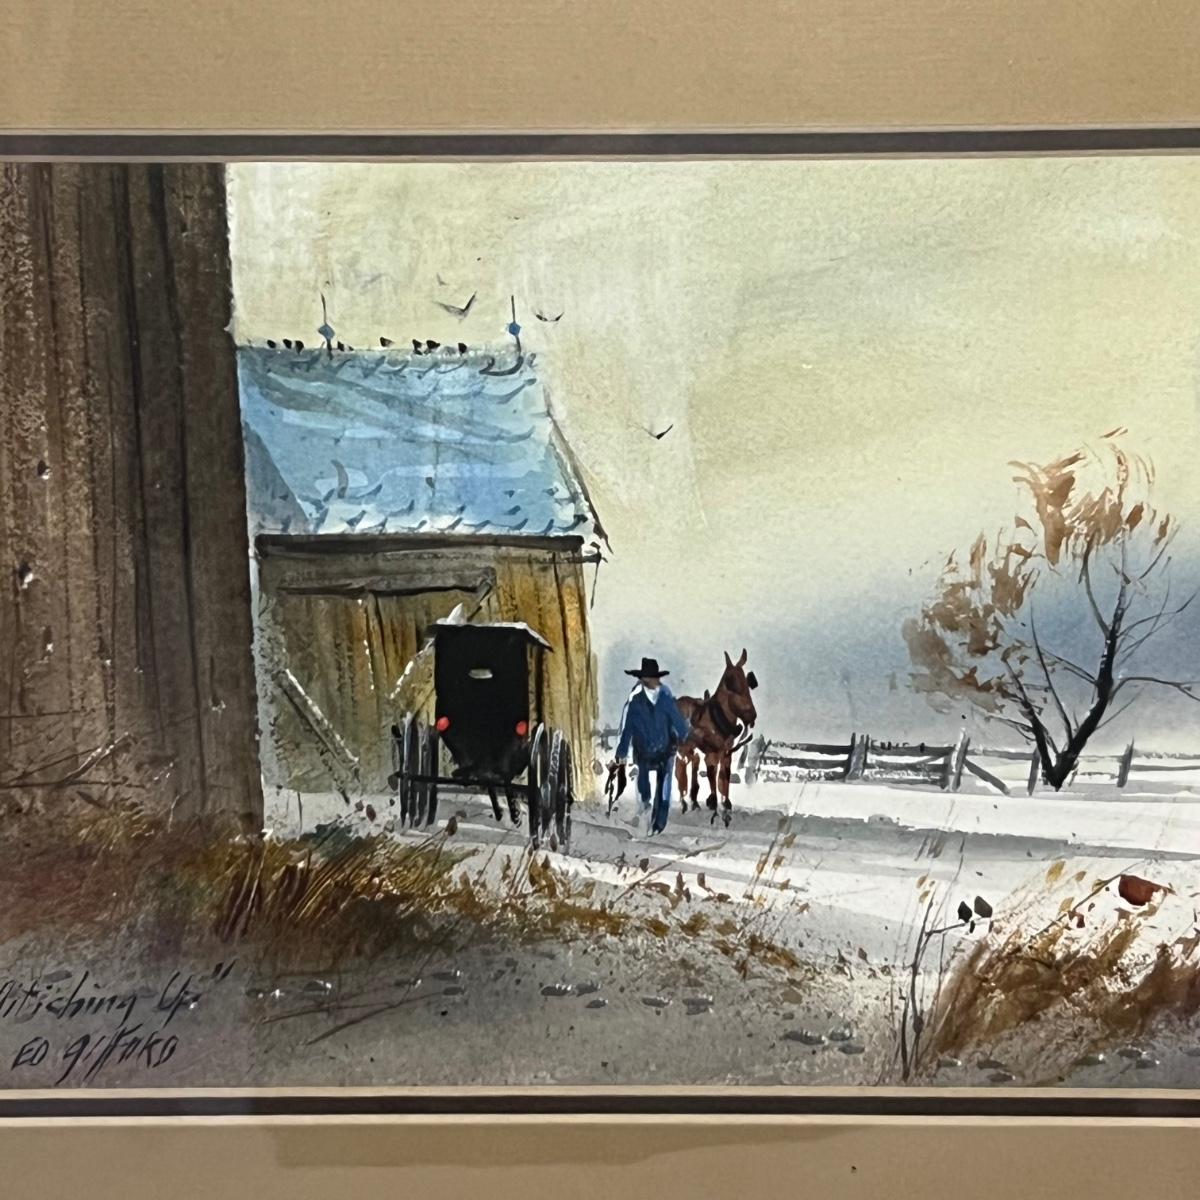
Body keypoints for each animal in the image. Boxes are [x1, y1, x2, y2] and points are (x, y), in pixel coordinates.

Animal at [674, 649, 758, 826]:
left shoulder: (726, 754)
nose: (752, 716)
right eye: (730, 683)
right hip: (683, 749)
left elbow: (724, 781)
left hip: (692, 750)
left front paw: (726, 807)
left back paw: (694, 802)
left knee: (693, 765)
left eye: (748, 683)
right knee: (680, 770)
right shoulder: (712, 754)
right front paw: (713, 806)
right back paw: (684, 803)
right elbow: (713, 780)